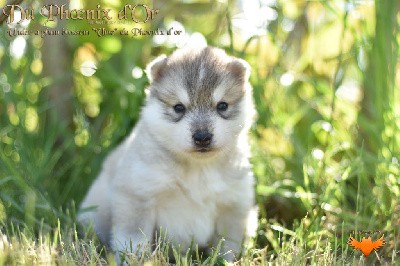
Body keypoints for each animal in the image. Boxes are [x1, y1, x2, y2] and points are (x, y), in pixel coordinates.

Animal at [79, 46, 256, 262]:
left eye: (222, 106)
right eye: (178, 107)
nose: (202, 137)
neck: (197, 168)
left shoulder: (233, 204)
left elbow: (227, 243)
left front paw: (225, 261)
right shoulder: (137, 194)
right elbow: (134, 238)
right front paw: (136, 259)